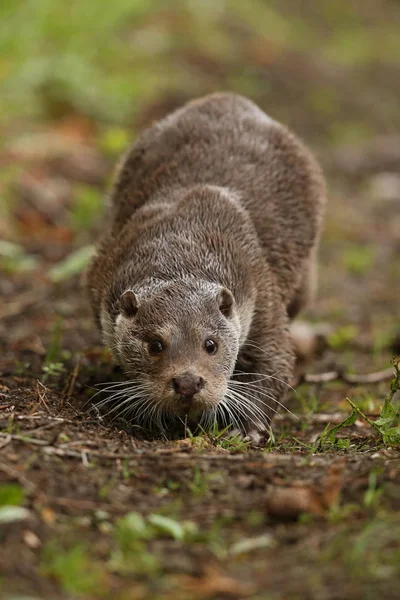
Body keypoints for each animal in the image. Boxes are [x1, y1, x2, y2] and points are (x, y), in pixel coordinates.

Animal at [86, 92, 326, 440]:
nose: (187, 382)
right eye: (155, 344)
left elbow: (275, 363)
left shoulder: (260, 291)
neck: (181, 243)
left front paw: (246, 428)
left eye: (210, 344)